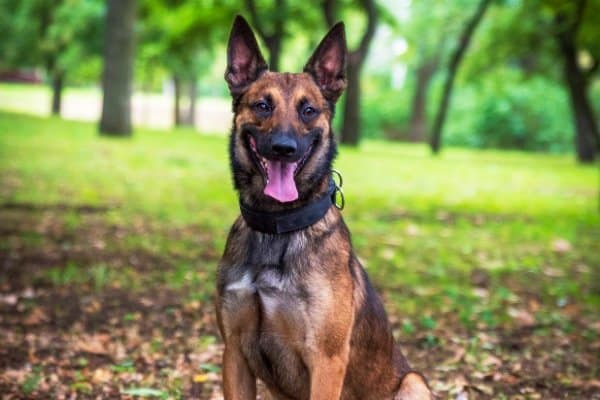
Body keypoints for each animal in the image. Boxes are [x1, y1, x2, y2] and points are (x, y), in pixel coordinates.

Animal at [216, 14, 432, 398]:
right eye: (262, 105)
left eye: (308, 110)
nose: (284, 148)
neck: (277, 227)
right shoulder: (234, 354)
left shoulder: (326, 361)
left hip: (413, 382)